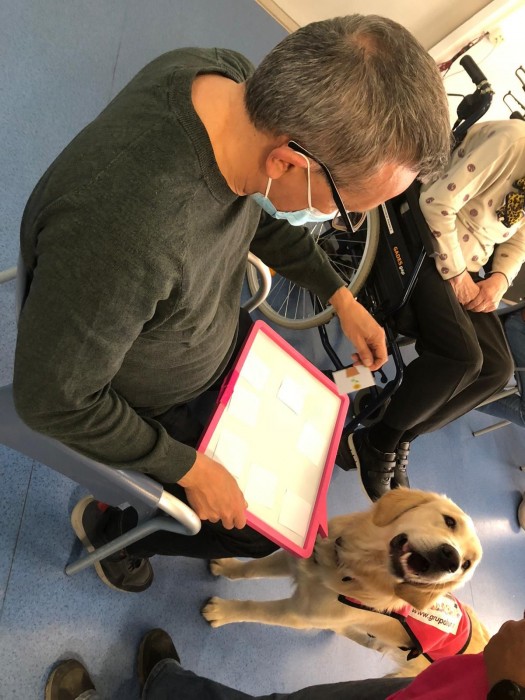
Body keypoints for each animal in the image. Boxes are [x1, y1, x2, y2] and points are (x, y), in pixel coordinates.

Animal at [202, 488, 489, 676]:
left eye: (466, 565)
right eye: (449, 521)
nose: (451, 559)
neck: (350, 566)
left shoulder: (297, 614)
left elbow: (256, 609)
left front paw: (222, 611)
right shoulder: (297, 561)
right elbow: (251, 568)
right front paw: (227, 566)